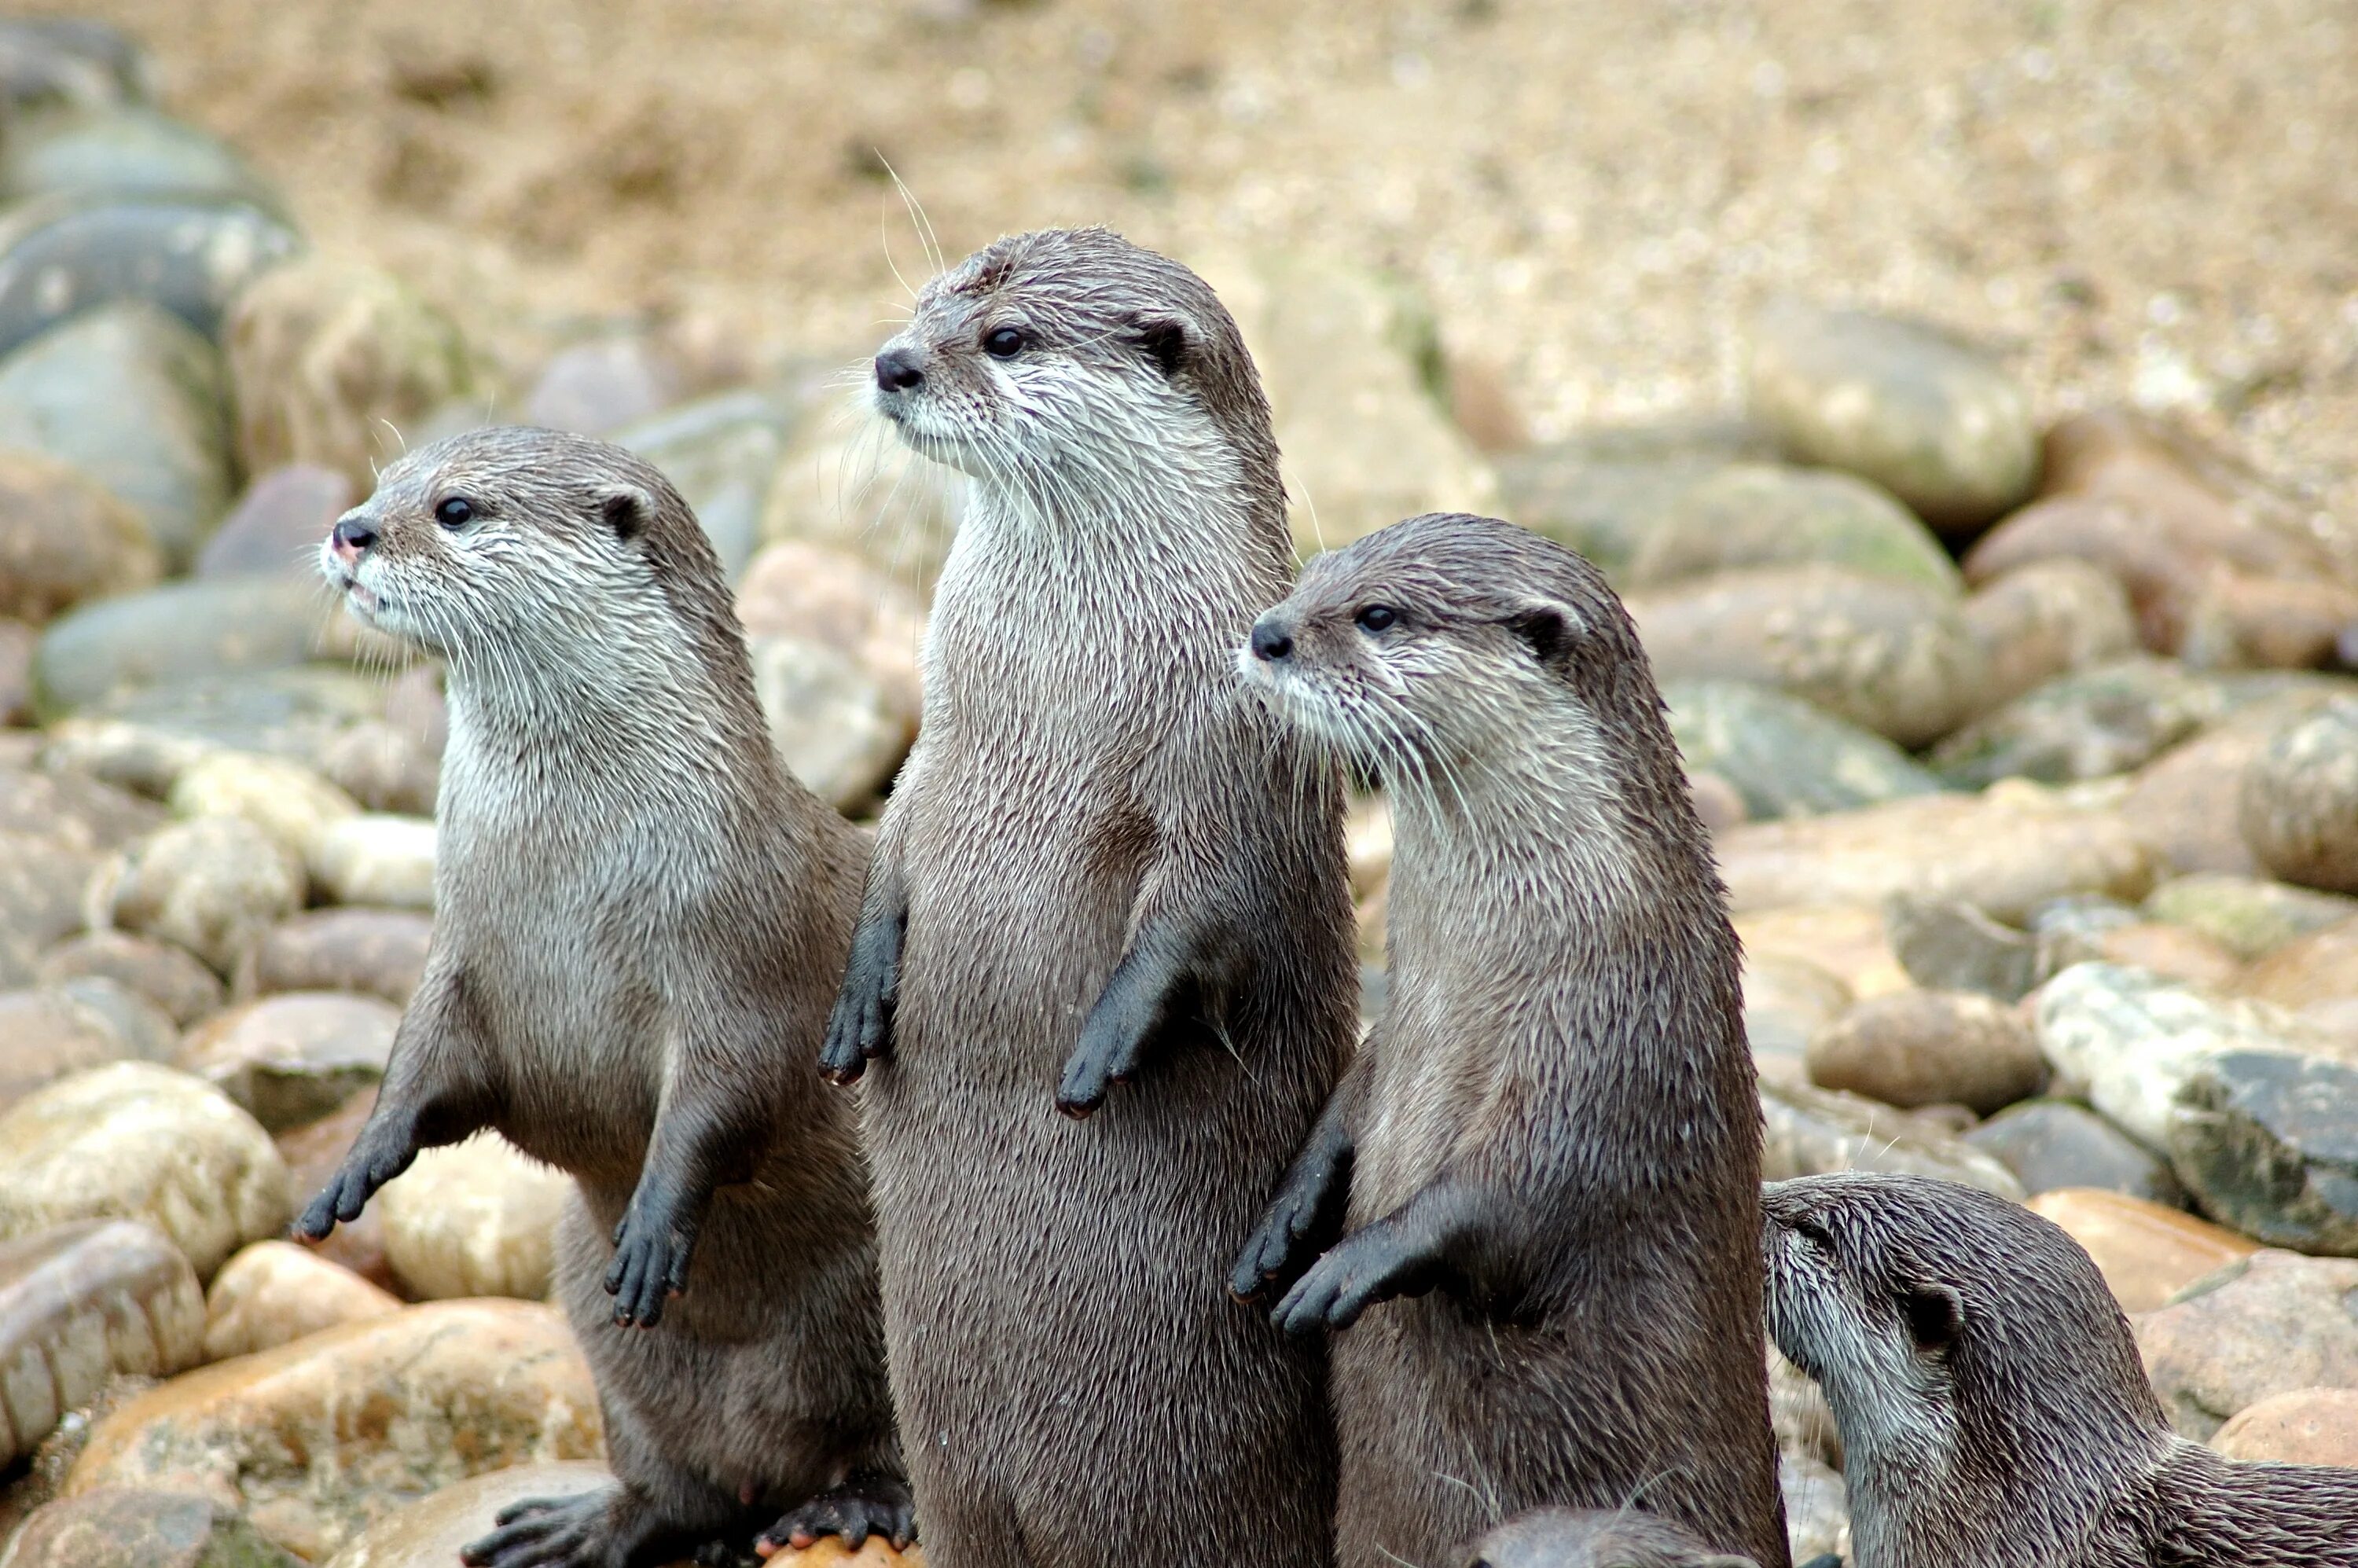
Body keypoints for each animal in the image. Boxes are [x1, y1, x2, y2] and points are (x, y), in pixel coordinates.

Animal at [299, 429, 905, 1566]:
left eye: (454, 508)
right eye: (382, 482)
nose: (350, 530)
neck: (570, 871)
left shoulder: (738, 948)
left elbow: (729, 1090)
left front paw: (658, 1219)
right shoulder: (465, 954)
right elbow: (423, 1062)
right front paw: (354, 1161)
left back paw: (852, 1503)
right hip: (586, 1312)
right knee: (682, 1489)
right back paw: (583, 1524)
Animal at [821, 222, 1358, 1566]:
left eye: (1007, 337)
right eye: (925, 303)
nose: (894, 361)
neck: (1055, 680)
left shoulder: (1236, 754)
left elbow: (1209, 905)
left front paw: (1098, 1049)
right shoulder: (937, 745)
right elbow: (890, 843)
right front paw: (857, 1002)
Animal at [1236, 512, 1783, 1566]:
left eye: (1378, 615)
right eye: (1310, 575)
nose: (1267, 634)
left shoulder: (1613, 1038)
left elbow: (1513, 1195)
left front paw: (1346, 1267)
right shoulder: (1401, 1020)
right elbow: (1349, 1105)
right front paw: (1284, 1221)